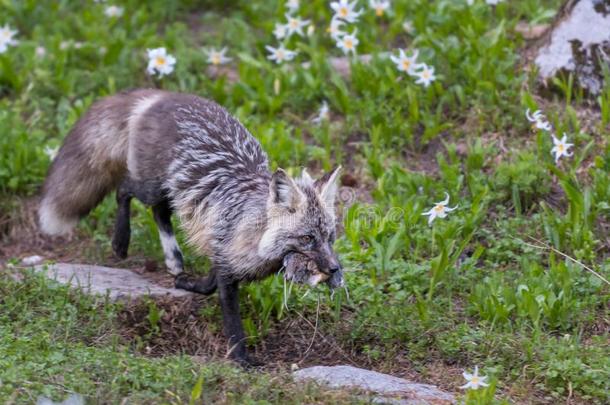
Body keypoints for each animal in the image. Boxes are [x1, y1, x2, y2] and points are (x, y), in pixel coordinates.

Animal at [38, 87, 342, 362]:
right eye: (307, 238)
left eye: (330, 238)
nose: (334, 269)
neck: (255, 238)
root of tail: (162, 96)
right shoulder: (227, 266)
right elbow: (232, 320)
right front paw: (241, 358)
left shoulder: (221, 253)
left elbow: (208, 285)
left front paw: (188, 284)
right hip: (153, 187)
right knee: (125, 190)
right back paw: (121, 241)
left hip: (172, 192)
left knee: (159, 213)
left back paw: (174, 259)